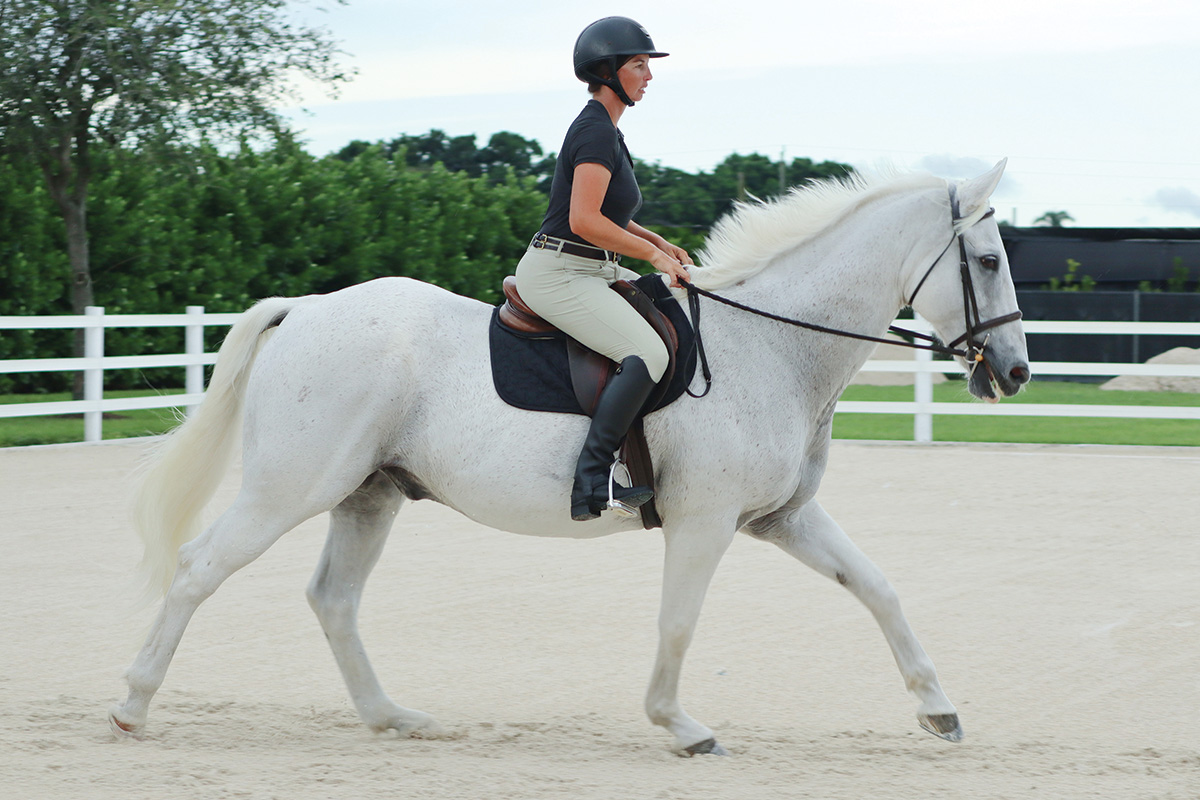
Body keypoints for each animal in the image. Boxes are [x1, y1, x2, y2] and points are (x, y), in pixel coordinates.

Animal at [110, 159, 1032, 753]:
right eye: (988, 260)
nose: (1015, 373)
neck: (772, 345)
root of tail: (305, 309)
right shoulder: (705, 522)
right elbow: (679, 619)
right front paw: (678, 726)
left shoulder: (783, 518)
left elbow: (877, 587)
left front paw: (939, 711)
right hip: (291, 487)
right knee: (199, 569)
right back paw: (131, 706)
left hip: (369, 493)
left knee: (333, 599)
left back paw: (392, 719)